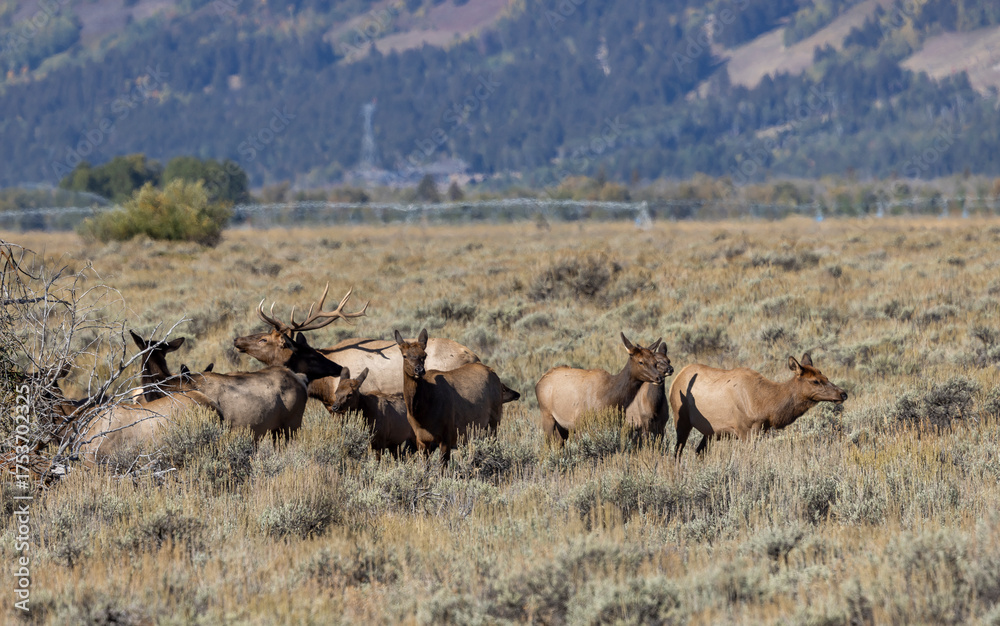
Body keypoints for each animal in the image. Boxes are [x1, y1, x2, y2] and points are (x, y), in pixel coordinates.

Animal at [394, 329, 505, 463]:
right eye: (404, 355)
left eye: (424, 355)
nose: (419, 370)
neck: (421, 414)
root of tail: (494, 373)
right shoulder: (421, 439)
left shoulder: (447, 435)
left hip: (494, 420)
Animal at [534, 333, 665, 442]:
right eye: (640, 362)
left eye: (655, 361)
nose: (659, 378)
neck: (610, 399)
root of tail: (539, 382)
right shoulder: (581, 424)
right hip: (546, 414)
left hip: (562, 426)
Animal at [669, 352, 848, 458]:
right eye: (815, 381)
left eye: (825, 376)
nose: (843, 393)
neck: (766, 405)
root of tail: (676, 378)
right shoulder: (745, 431)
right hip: (681, 419)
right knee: (677, 451)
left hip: (710, 433)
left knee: (698, 452)